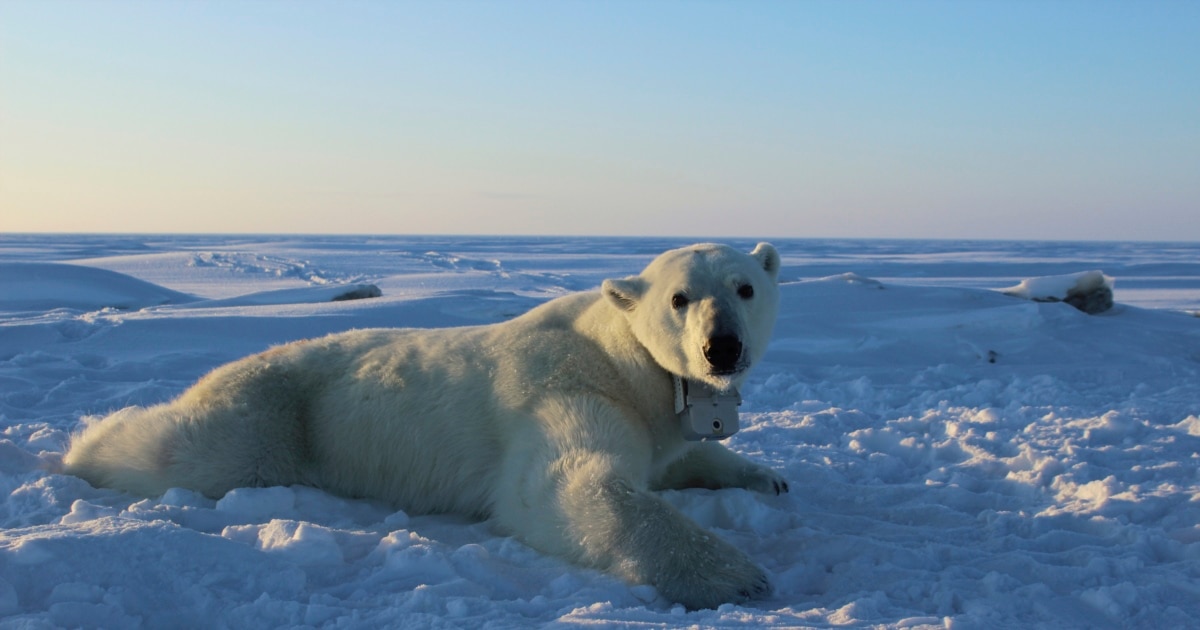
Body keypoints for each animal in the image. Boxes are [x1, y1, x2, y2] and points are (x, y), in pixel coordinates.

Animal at [63, 242, 787, 610]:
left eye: (745, 287)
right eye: (679, 297)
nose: (722, 347)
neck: (620, 357)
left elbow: (682, 455)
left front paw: (767, 478)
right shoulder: (566, 389)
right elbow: (565, 486)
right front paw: (737, 575)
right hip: (273, 417)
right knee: (182, 450)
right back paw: (82, 445)